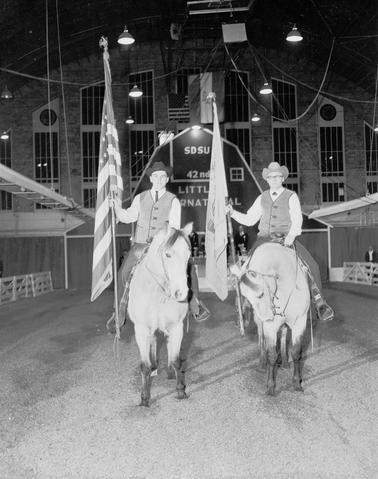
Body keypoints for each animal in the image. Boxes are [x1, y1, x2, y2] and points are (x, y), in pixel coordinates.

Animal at [126, 223, 192, 406]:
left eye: (189, 254)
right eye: (168, 254)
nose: (182, 293)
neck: (157, 292)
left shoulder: (177, 327)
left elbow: (176, 360)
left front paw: (180, 390)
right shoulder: (141, 329)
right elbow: (144, 365)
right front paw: (144, 398)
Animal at [239, 242, 310, 396]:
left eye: (261, 294)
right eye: (246, 296)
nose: (267, 316)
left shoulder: (300, 322)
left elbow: (296, 352)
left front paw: (297, 383)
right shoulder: (270, 326)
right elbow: (271, 353)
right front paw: (271, 386)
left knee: (282, 335)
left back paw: (284, 362)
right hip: (261, 323)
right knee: (262, 339)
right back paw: (262, 363)